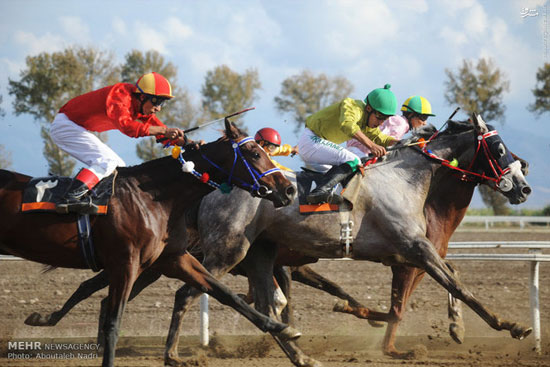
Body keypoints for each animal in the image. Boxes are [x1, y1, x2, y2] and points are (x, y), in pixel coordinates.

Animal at [0, 119, 300, 366]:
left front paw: (284, 329)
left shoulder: (173, 258)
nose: (288, 189)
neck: (153, 199)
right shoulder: (126, 263)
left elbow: (224, 292)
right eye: (254, 153)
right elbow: (114, 323)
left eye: (265, 151)